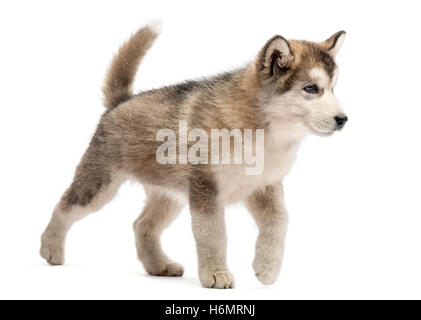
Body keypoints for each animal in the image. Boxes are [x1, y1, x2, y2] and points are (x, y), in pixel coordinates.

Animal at [41, 23, 346, 288]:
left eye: (333, 88)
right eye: (311, 89)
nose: (343, 119)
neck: (263, 130)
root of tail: (121, 101)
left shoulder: (264, 186)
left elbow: (280, 221)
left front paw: (267, 267)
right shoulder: (206, 190)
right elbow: (213, 234)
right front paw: (216, 274)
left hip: (168, 194)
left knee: (142, 225)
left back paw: (159, 266)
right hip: (99, 185)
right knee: (64, 207)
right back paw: (50, 248)